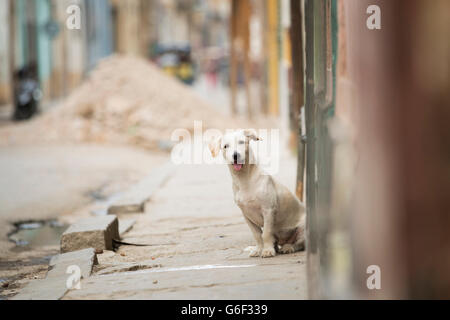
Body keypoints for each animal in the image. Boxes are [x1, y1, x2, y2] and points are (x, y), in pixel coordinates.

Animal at [208, 129, 306, 258]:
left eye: (241, 142)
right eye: (225, 146)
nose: (235, 156)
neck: (245, 180)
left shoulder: (268, 210)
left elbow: (266, 233)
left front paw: (267, 250)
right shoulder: (247, 215)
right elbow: (258, 234)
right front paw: (259, 249)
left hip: (303, 228)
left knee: (300, 244)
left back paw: (288, 247)